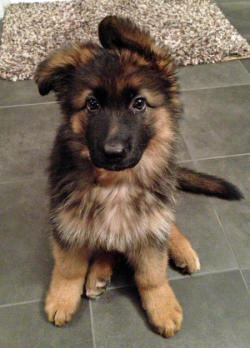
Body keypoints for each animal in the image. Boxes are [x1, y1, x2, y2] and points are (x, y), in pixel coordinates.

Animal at [35, 15, 242, 338]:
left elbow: (152, 273)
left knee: (168, 224)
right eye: (92, 104)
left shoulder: (149, 222)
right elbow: (69, 267)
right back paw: (98, 274)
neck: (115, 182)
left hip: (161, 204)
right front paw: (61, 299)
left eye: (139, 103)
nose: (113, 152)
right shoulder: (67, 221)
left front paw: (162, 306)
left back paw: (181, 251)